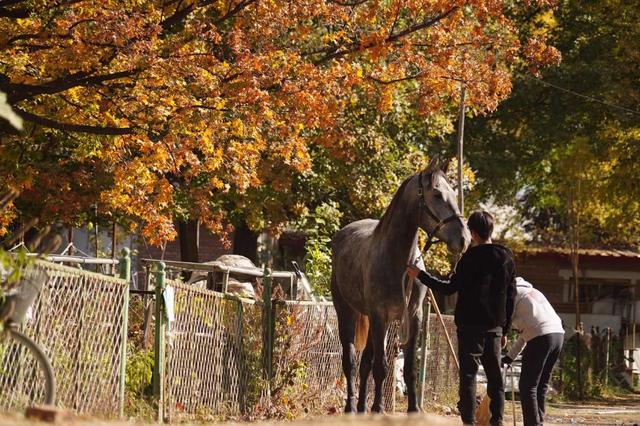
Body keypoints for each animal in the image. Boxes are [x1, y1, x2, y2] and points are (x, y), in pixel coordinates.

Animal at [330, 159, 470, 412]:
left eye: (454, 194)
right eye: (437, 194)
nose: (463, 239)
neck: (398, 261)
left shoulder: (413, 317)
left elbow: (410, 369)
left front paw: (414, 409)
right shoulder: (380, 317)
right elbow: (381, 368)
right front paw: (378, 408)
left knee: (365, 363)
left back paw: (362, 408)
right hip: (347, 312)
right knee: (351, 362)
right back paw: (352, 407)